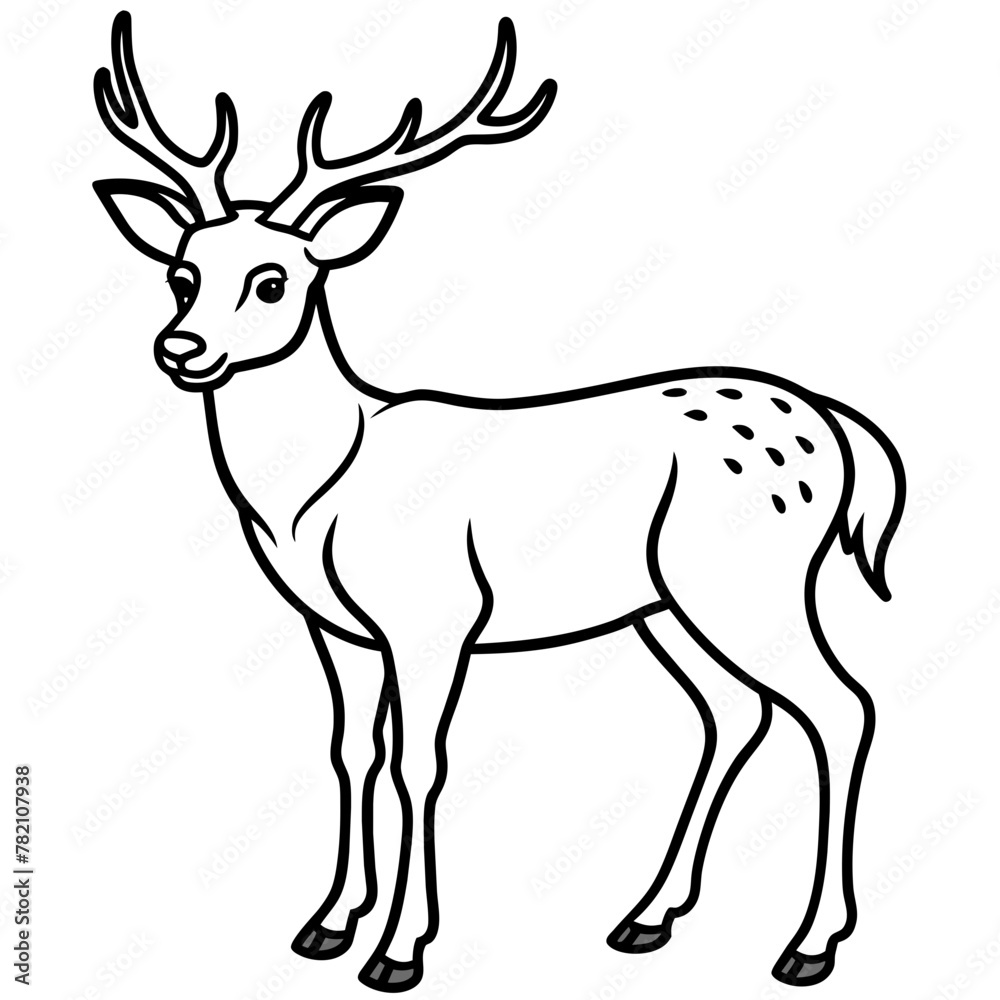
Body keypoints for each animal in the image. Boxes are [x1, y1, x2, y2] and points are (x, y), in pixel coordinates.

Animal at [93, 11, 905, 993]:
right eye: (182, 272)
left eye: (274, 279)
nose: (181, 349)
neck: (315, 496)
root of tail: (838, 427)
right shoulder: (334, 626)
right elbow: (352, 753)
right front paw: (327, 924)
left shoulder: (434, 615)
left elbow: (419, 764)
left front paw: (399, 949)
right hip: (667, 603)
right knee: (734, 713)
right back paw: (647, 917)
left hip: (753, 575)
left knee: (842, 705)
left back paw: (809, 944)